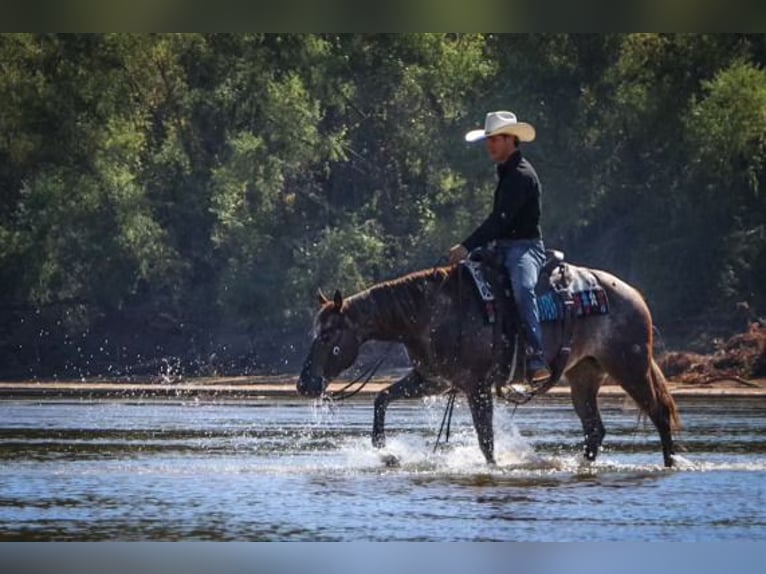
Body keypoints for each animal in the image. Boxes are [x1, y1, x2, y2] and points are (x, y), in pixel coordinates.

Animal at [296, 260, 680, 468]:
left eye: (328, 336)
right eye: (314, 331)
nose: (304, 384)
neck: (430, 313)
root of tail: (634, 295)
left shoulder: (476, 386)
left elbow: (486, 440)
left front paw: (495, 469)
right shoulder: (433, 379)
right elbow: (381, 399)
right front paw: (383, 451)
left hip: (629, 366)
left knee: (659, 413)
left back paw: (669, 465)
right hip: (584, 374)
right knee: (595, 430)